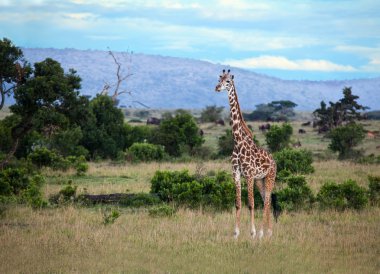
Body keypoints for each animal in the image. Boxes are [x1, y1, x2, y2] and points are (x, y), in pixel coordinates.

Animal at [217, 69, 276, 239]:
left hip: (270, 177)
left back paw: (263, 232)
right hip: (260, 180)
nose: (217, 87)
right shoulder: (236, 173)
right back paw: (268, 232)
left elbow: (251, 204)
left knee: (267, 200)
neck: (237, 142)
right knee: (266, 200)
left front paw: (252, 232)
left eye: (228, 81)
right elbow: (238, 203)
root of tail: (274, 161)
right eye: (219, 79)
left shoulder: (249, 175)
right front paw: (236, 233)